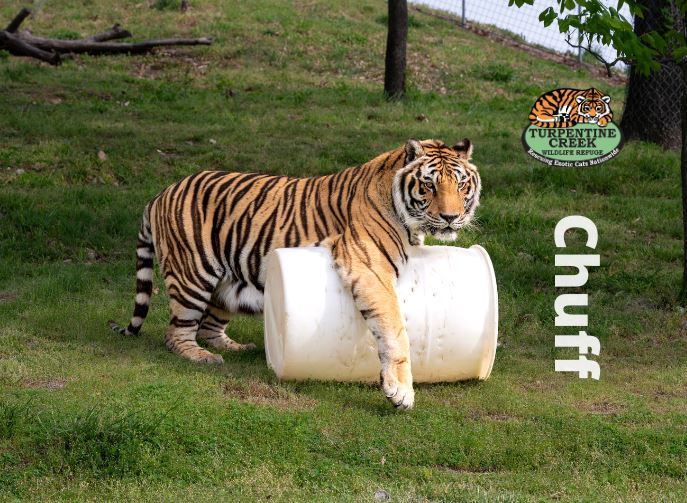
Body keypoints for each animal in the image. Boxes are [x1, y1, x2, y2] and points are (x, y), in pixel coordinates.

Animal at [108, 139, 481, 410]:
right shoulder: (370, 268)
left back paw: (234, 347)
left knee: (209, 326)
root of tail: (160, 193)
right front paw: (400, 391)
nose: (450, 218)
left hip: (228, 284)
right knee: (177, 333)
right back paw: (202, 357)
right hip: (193, 276)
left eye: (461, 186)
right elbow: (394, 330)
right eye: (429, 187)